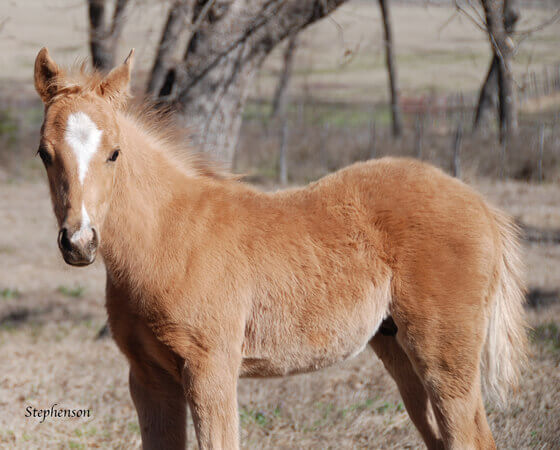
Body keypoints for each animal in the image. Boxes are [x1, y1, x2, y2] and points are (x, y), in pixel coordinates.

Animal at [34, 49, 524, 450]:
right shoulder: (148, 378)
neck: (168, 239)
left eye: (115, 153)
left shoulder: (211, 368)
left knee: (471, 437)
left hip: (445, 355)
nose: (79, 241)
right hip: (397, 349)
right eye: (44, 153)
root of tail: (480, 204)